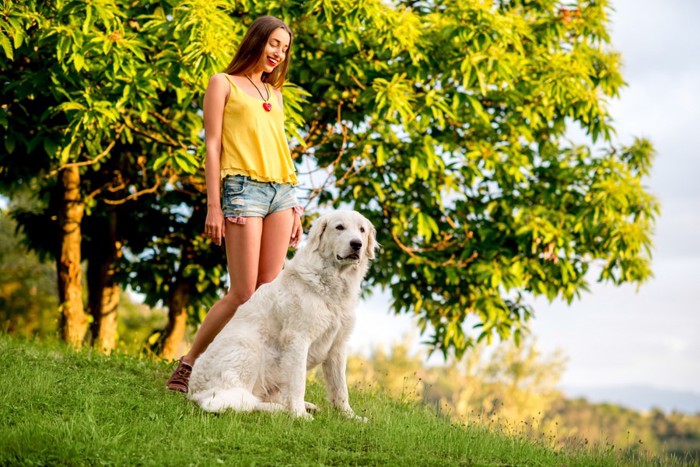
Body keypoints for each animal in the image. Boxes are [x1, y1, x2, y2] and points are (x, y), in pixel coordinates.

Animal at [187, 212, 378, 420]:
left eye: (362, 230)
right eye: (340, 227)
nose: (356, 244)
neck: (332, 280)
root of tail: (192, 392)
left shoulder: (337, 345)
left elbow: (340, 388)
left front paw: (350, 417)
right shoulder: (298, 339)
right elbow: (298, 382)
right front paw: (299, 415)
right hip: (249, 347)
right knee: (232, 401)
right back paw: (281, 410)